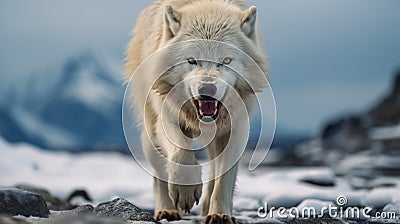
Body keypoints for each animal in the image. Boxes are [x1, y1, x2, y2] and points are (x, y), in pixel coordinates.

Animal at [125, 0, 268, 223]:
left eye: (226, 61)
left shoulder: (237, 128)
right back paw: (166, 210)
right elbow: (181, 154)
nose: (207, 89)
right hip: (150, 135)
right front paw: (186, 191)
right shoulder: (168, 118)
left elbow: (224, 178)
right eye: (192, 60)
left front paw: (219, 213)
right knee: (160, 173)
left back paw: (207, 205)